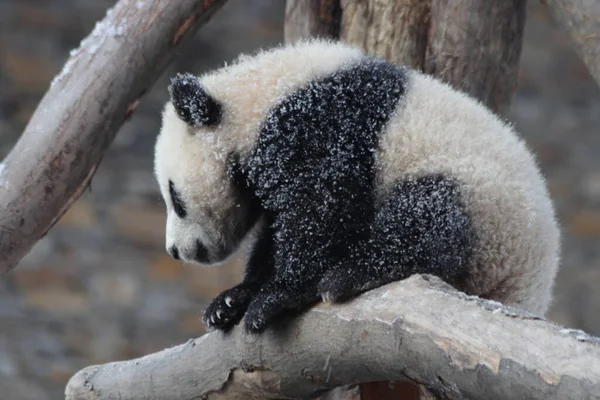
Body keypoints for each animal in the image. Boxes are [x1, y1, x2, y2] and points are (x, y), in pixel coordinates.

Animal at [152, 39, 560, 332]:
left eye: (176, 198)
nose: (175, 251)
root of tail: (529, 293)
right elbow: (277, 231)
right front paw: (230, 302)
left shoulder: (323, 126)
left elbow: (323, 207)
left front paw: (275, 296)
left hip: (486, 208)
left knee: (432, 218)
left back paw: (350, 274)